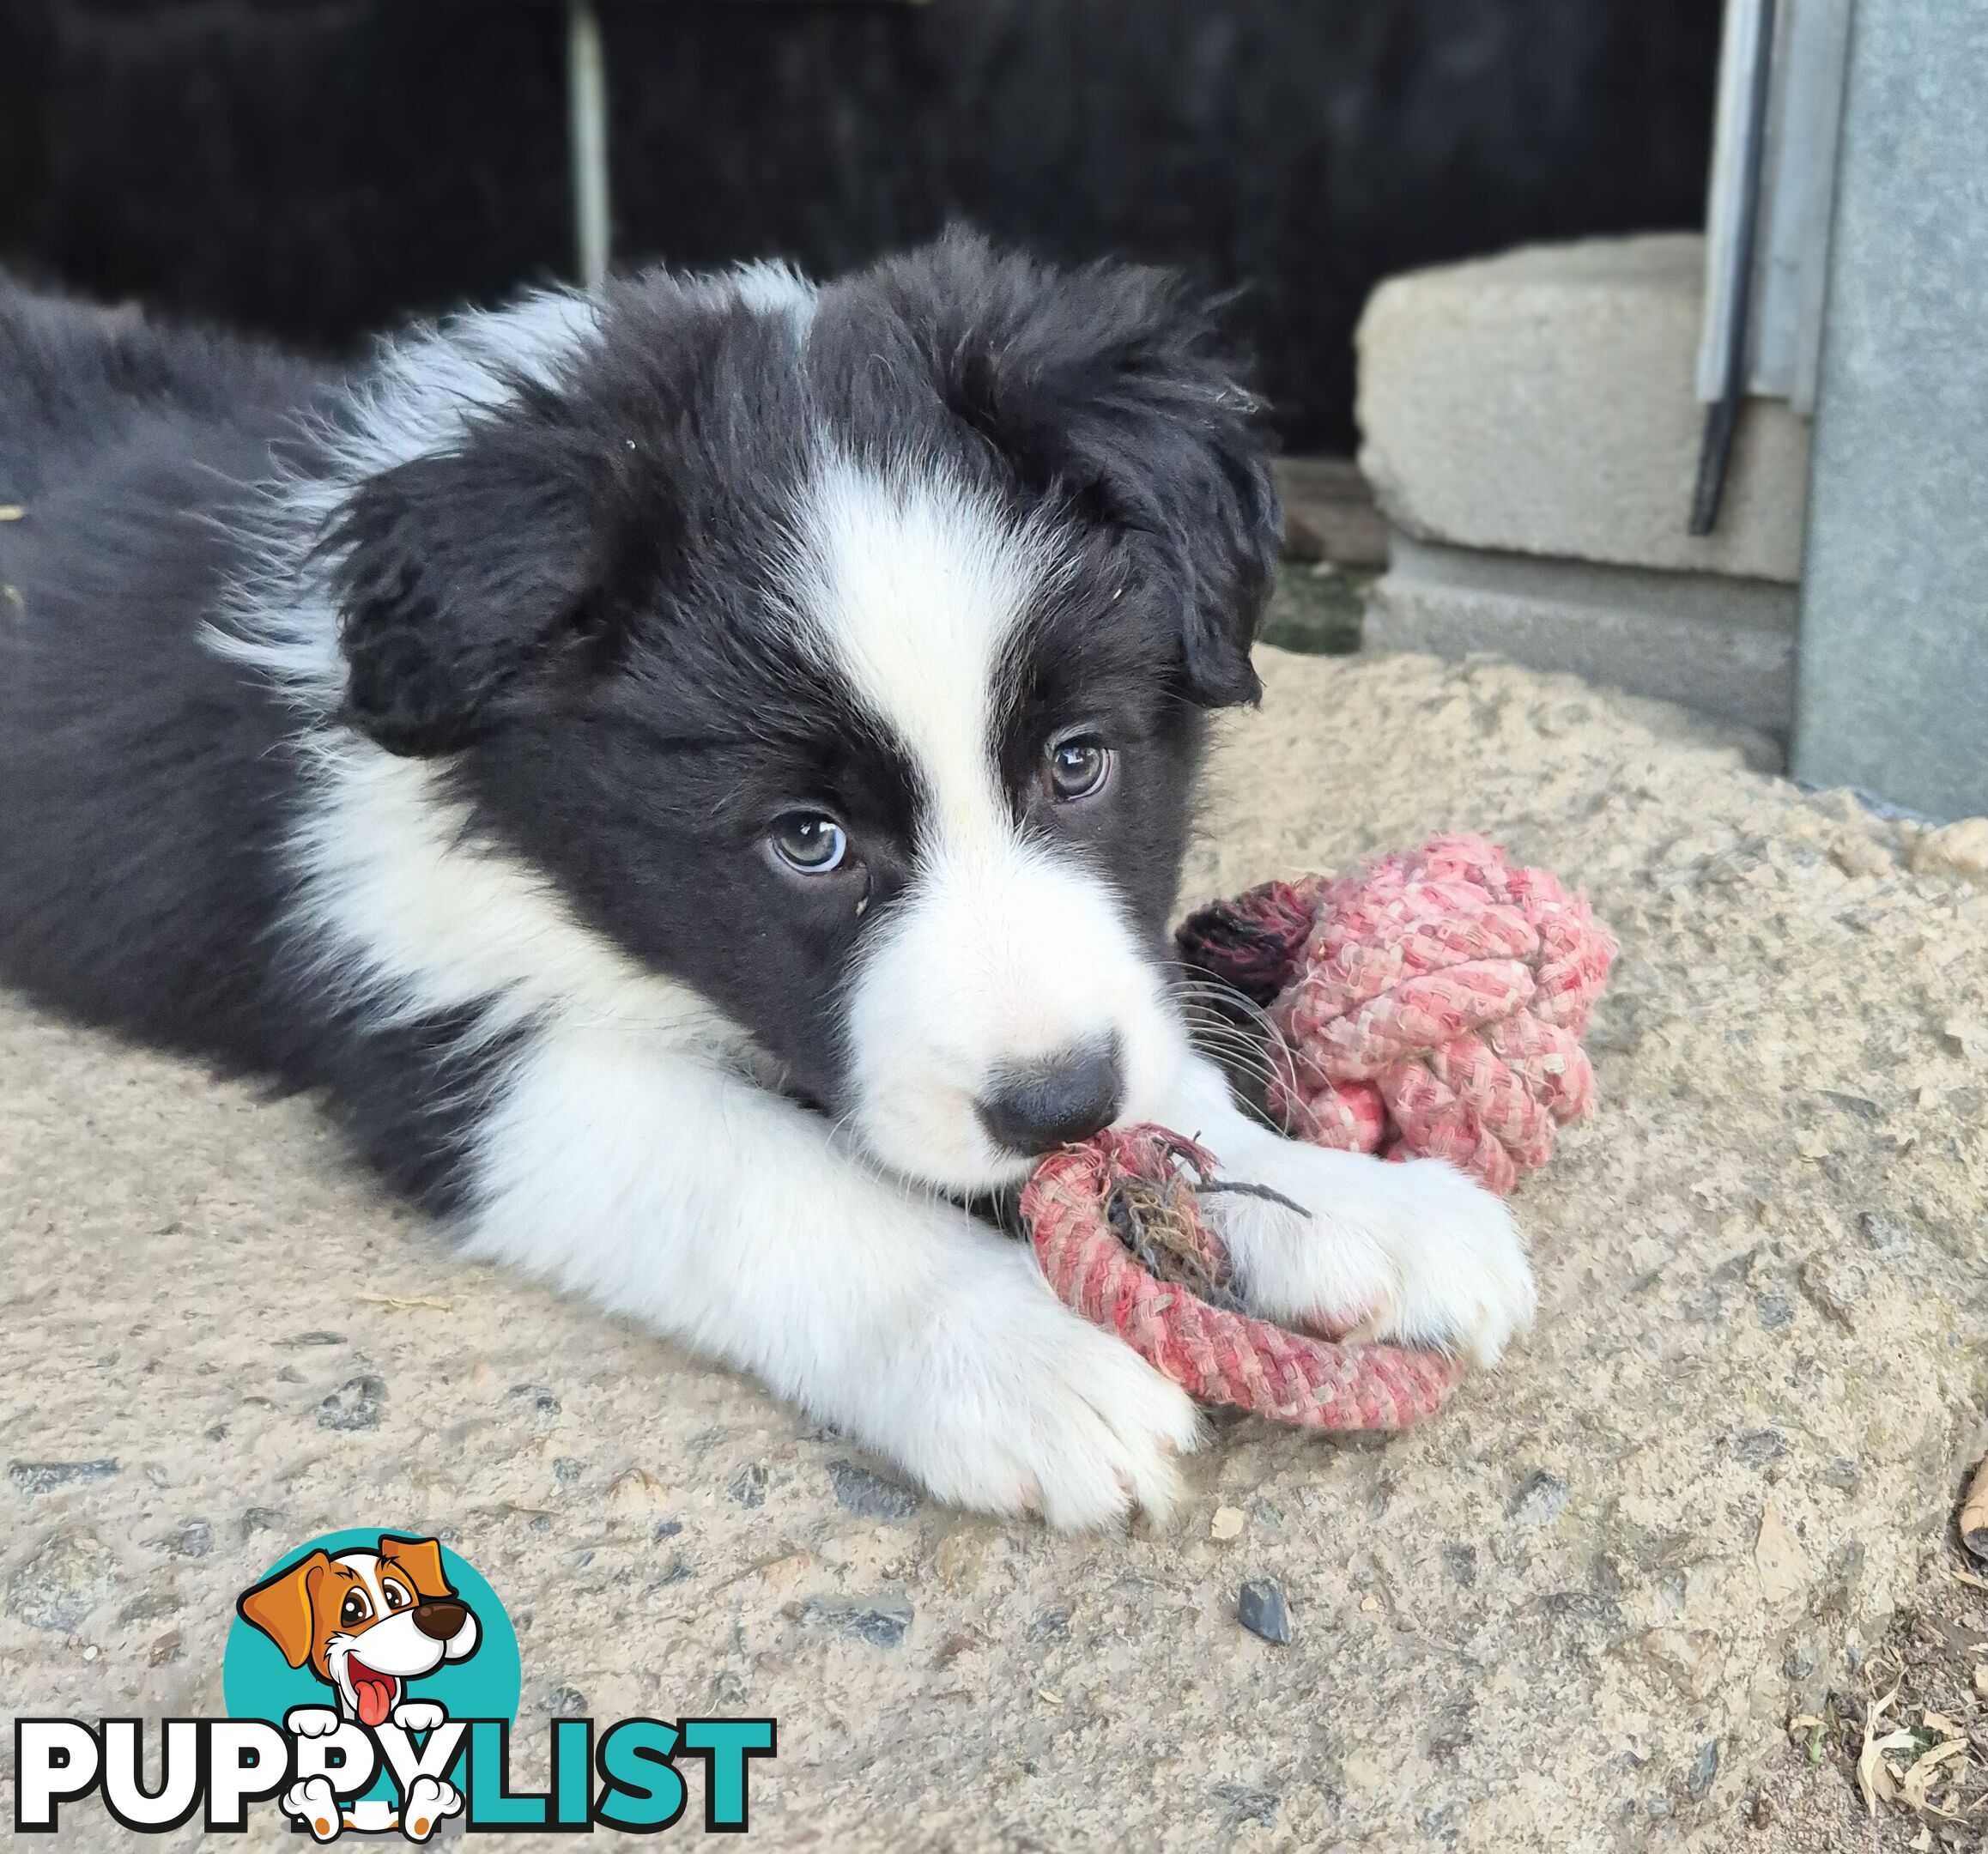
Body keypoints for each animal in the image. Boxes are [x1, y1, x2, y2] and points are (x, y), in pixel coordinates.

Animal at [0, 238, 1534, 1526]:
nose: (1057, 1108)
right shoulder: (436, 1026)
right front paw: (1017, 1355)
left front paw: (1344, 1207)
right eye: (807, 841)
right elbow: (765, 1183)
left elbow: (1162, 1067)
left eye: (1079, 762)